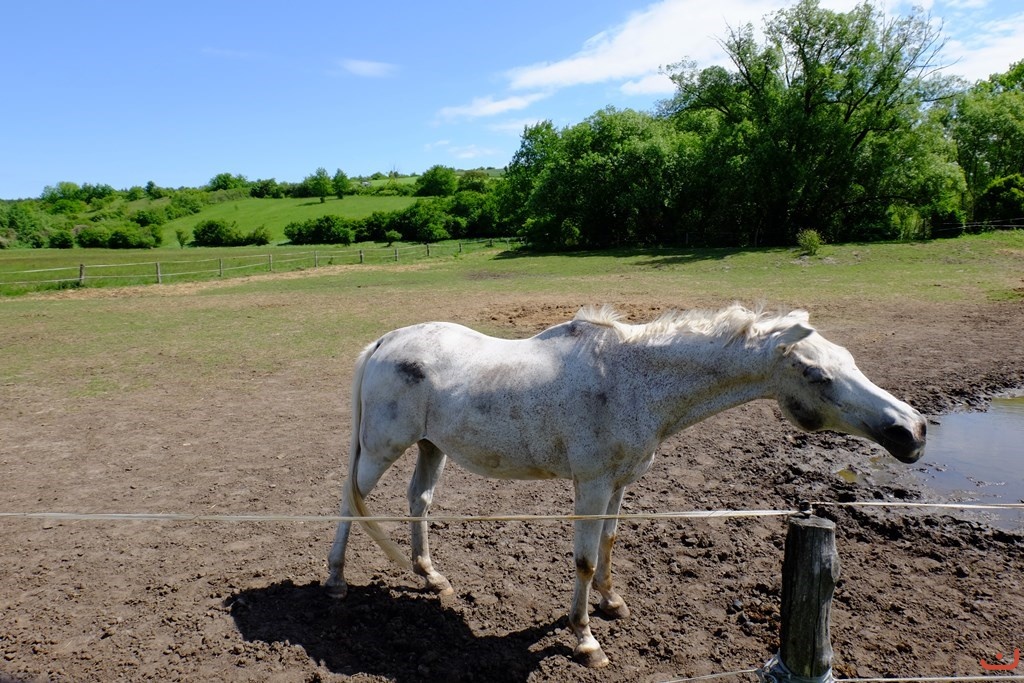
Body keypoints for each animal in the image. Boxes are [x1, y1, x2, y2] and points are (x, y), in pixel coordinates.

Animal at [326, 304, 926, 668]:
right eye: (817, 375)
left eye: (849, 361)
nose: (912, 431)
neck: (632, 381)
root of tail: (383, 342)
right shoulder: (591, 486)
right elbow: (585, 560)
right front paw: (585, 639)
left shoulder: (618, 484)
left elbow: (611, 543)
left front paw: (612, 604)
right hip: (380, 449)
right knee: (348, 503)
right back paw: (334, 581)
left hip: (431, 448)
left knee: (419, 502)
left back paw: (430, 576)